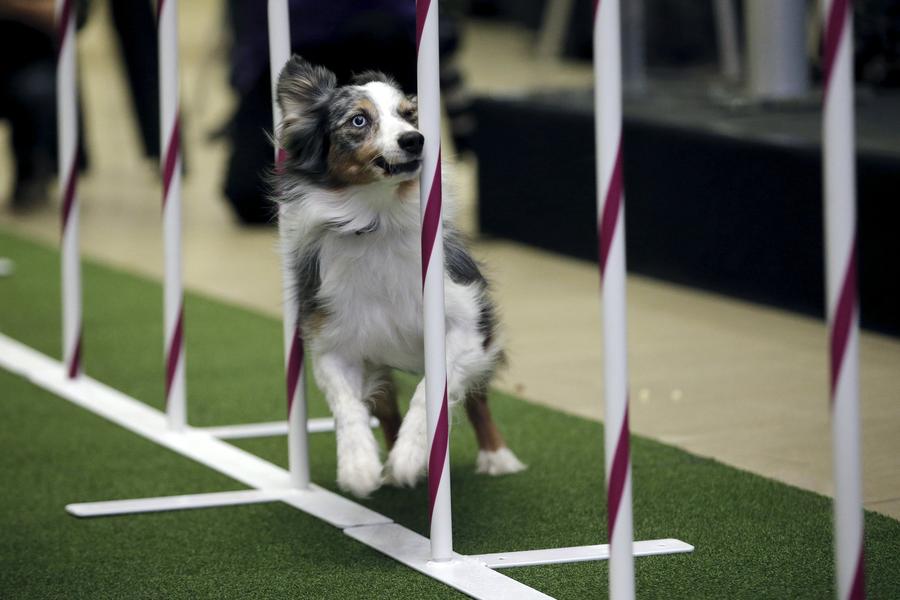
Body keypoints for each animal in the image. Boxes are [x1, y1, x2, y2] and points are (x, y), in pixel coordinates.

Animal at [274, 56, 528, 496]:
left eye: (409, 115)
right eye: (359, 120)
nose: (415, 140)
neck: (377, 217)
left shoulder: (463, 326)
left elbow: (430, 394)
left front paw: (412, 455)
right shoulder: (334, 341)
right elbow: (347, 405)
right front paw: (359, 466)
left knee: (477, 398)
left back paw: (496, 457)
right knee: (386, 406)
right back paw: (389, 467)